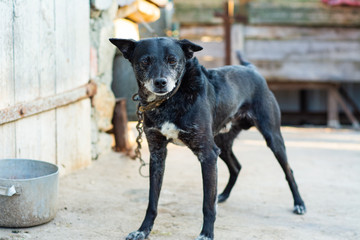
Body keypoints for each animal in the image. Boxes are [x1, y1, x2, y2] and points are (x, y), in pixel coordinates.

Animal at [109, 37, 304, 240]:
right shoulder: (157, 154)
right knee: (236, 167)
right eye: (145, 61)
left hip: (271, 138)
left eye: (173, 60)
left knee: (289, 171)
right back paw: (223, 195)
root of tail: (252, 70)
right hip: (221, 144)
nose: (161, 82)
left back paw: (299, 204)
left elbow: (207, 204)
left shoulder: (207, 154)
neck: (170, 100)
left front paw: (206, 234)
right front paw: (143, 230)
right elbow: (152, 200)